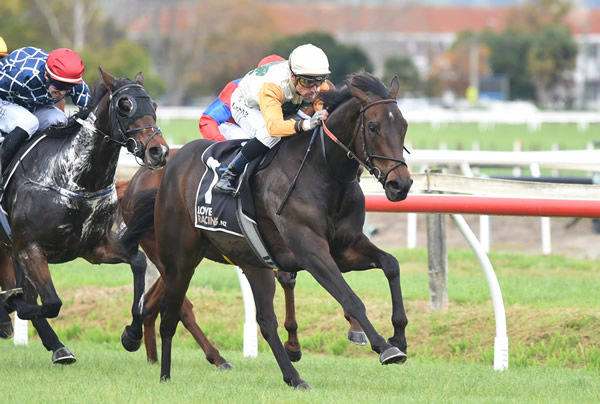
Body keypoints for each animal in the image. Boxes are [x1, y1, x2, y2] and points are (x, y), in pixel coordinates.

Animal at [0, 68, 170, 362]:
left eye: (155, 105)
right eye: (125, 105)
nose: (158, 151)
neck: (75, 180)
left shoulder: (93, 247)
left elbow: (138, 262)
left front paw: (132, 335)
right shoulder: (29, 248)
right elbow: (49, 302)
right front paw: (12, 302)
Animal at [122, 71, 412, 386]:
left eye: (404, 126)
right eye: (373, 127)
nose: (401, 184)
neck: (322, 171)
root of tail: (163, 170)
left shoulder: (345, 249)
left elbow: (391, 264)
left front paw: (399, 335)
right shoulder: (311, 252)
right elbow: (351, 298)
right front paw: (384, 347)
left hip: (251, 263)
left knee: (265, 321)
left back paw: (294, 378)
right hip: (179, 260)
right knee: (171, 314)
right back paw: (166, 373)